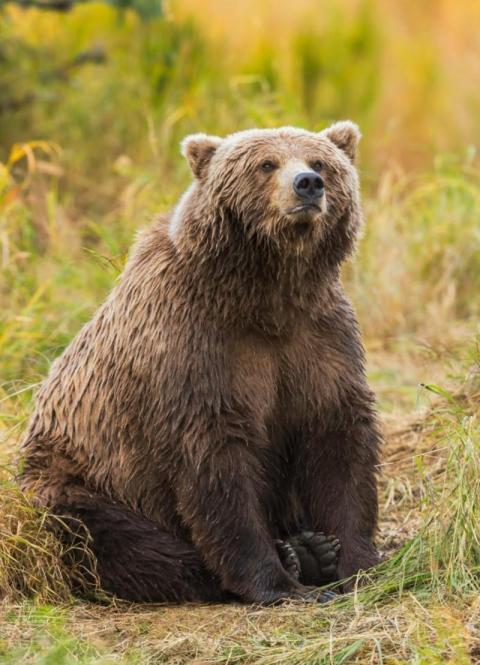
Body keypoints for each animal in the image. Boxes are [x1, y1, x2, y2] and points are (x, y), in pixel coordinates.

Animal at [19, 121, 381, 605]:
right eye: (266, 164)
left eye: (320, 161)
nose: (308, 184)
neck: (265, 296)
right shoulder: (193, 346)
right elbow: (215, 463)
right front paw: (278, 582)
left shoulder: (318, 339)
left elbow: (338, 440)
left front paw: (355, 562)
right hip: (74, 478)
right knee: (107, 537)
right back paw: (290, 557)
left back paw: (313, 550)